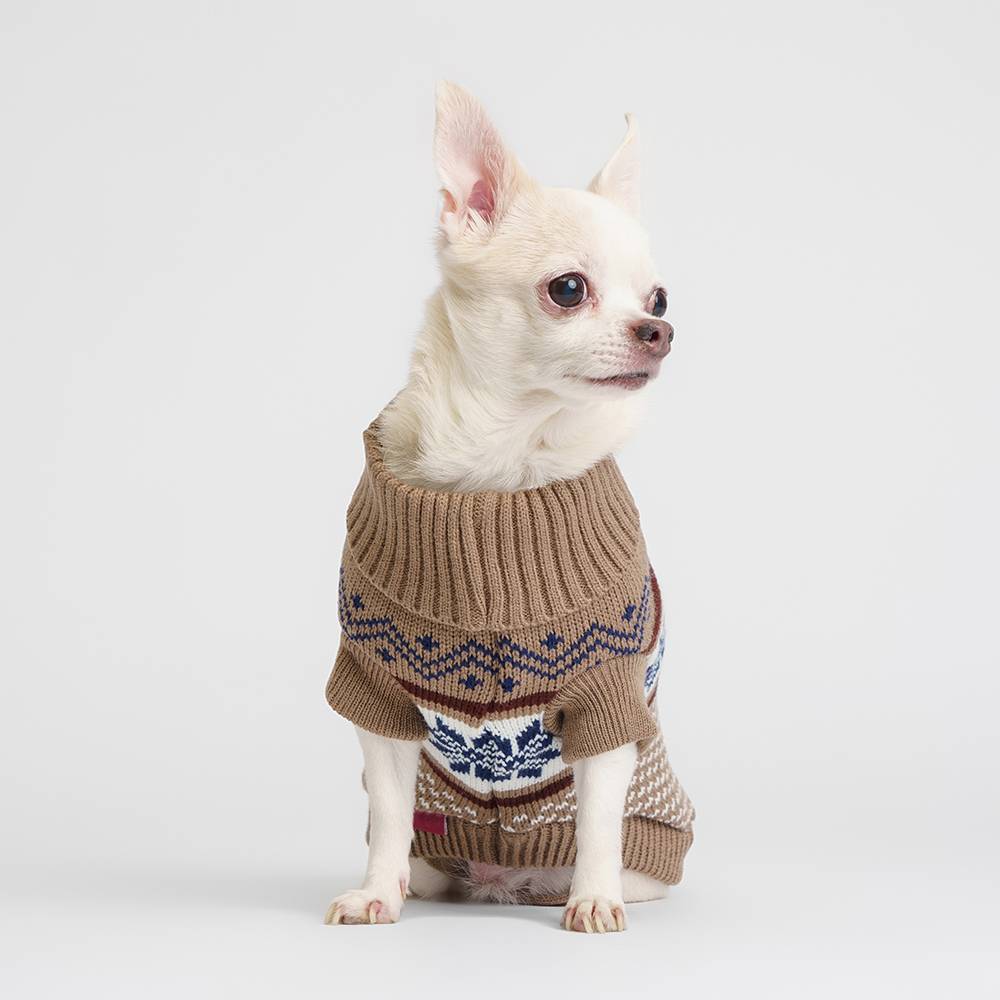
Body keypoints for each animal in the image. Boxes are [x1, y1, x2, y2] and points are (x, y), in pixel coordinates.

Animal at [324, 83, 692, 933]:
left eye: (660, 296)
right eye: (568, 289)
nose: (658, 329)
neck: (503, 473)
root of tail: (500, 876)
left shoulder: (605, 701)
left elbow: (598, 814)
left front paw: (594, 899)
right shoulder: (378, 700)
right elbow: (388, 811)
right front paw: (375, 890)